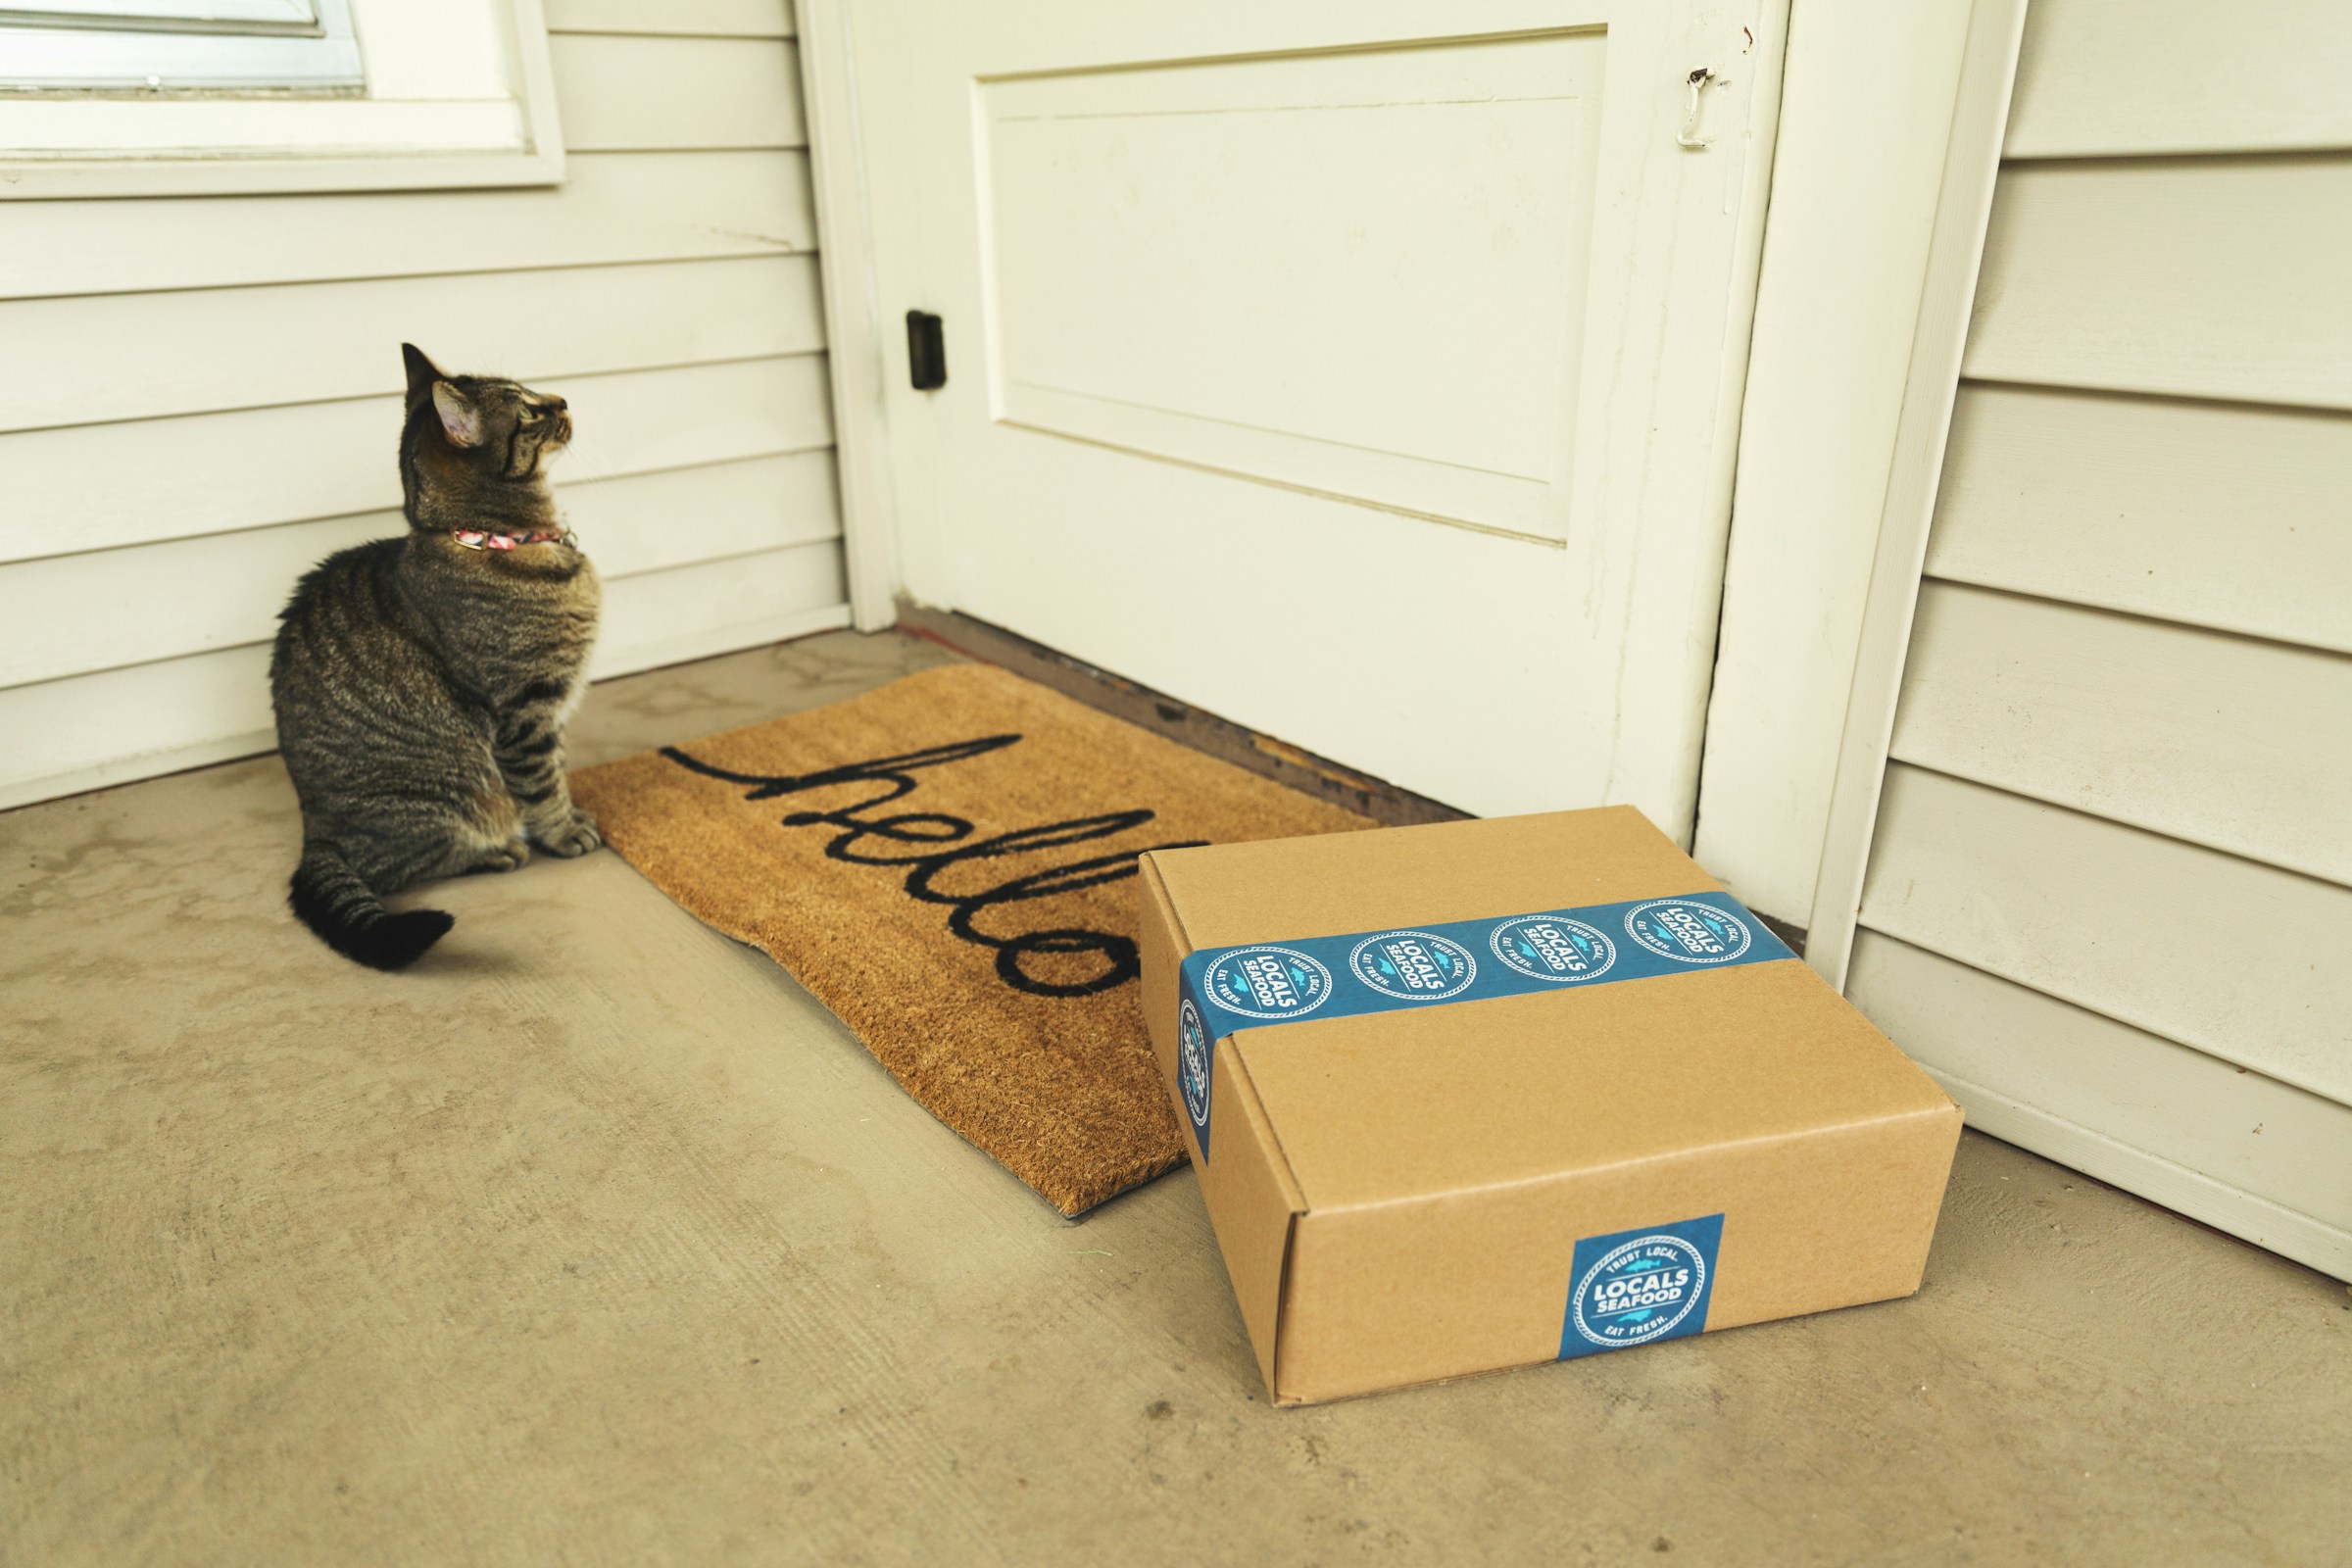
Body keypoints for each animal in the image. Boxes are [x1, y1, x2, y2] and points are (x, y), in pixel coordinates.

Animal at [269, 345, 602, 968]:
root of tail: (314, 830)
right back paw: (497, 852)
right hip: (449, 795)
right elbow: (543, 782)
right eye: (528, 410)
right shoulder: (525, 709)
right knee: (403, 865)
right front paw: (564, 831)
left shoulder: (550, 707)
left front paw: (572, 812)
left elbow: (559, 768)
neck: (492, 538)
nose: (564, 399)